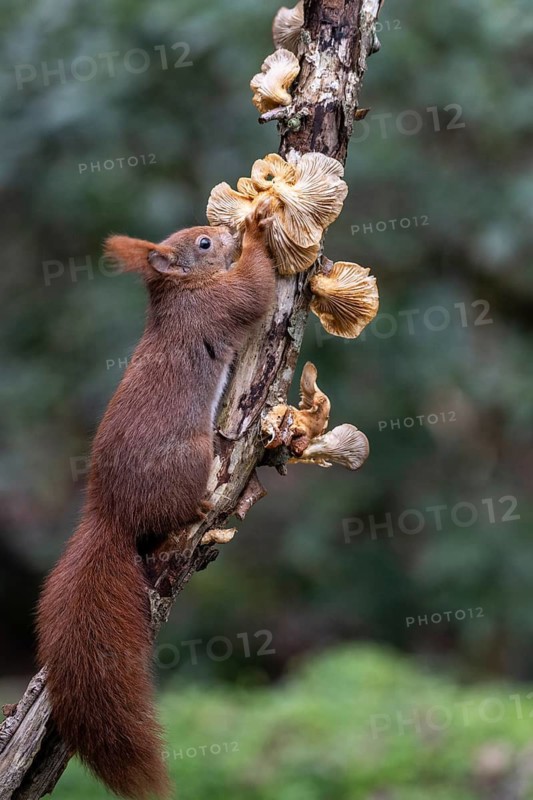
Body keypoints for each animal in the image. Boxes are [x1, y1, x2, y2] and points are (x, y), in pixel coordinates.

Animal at [37, 199, 276, 800]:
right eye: (204, 244)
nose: (224, 231)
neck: (181, 291)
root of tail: (109, 515)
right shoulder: (220, 304)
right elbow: (255, 288)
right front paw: (258, 229)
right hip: (192, 457)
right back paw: (204, 509)